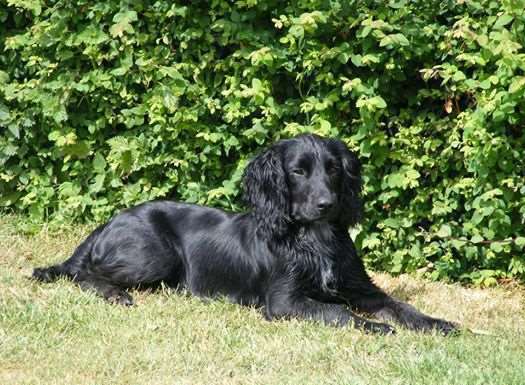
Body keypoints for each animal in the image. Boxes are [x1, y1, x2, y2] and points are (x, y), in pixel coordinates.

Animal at [33, 134, 454, 332]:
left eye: (334, 168)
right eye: (297, 171)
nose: (327, 204)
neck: (311, 237)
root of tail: (108, 223)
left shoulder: (360, 288)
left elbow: (399, 306)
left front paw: (436, 323)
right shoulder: (284, 302)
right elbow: (338, 312)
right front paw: (375, 326)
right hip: (153, 255)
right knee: (80, 273)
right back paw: (114, 294)